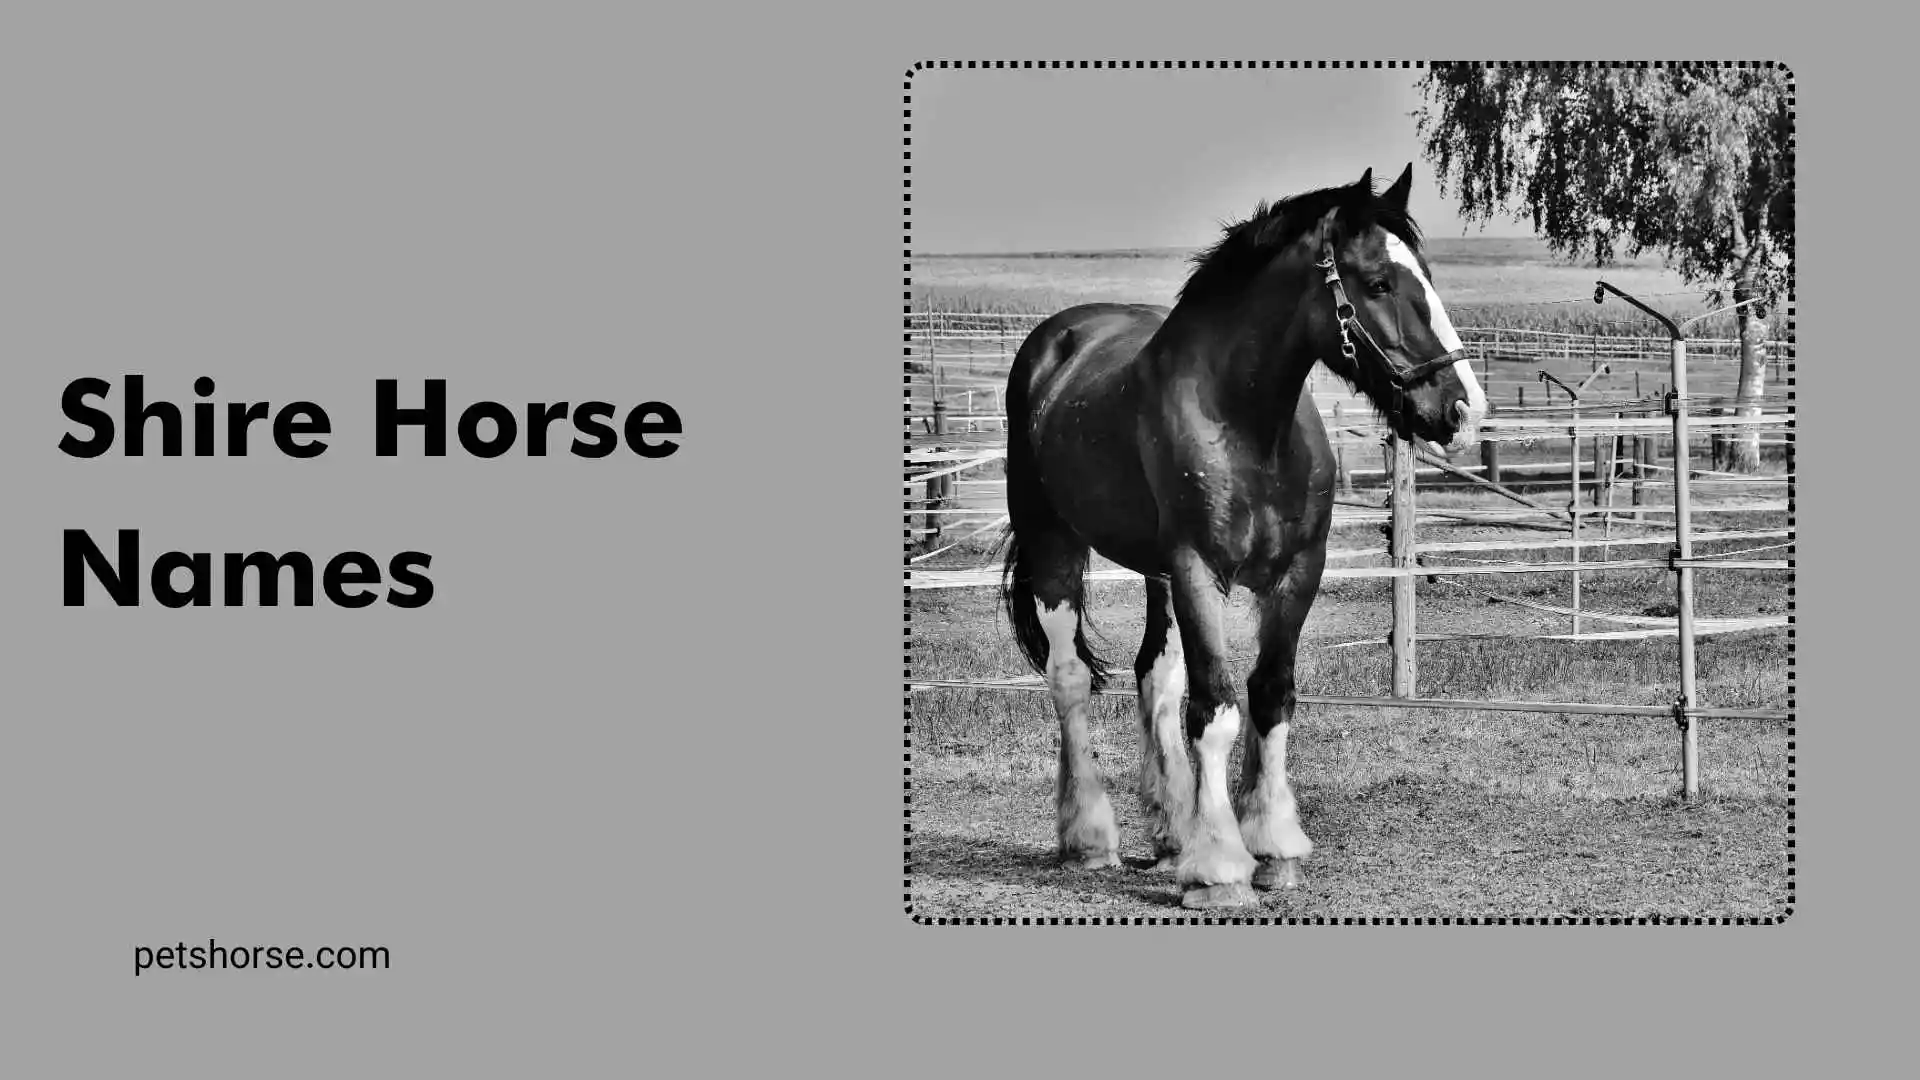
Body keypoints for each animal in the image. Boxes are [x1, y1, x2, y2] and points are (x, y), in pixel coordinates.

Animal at [997, 164, 1488, 909]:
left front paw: (1271, 847)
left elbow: (1269, 694)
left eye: (1426, 276)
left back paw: (1172, 833)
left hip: (1155, 575)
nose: (1462, 410)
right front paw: (1221, 868)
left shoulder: (1296, 572)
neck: (1251, 426)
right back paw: (1091, 838)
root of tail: (1056, 341)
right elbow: (1216, 707)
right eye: (1378, 282)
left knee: (1154, 676)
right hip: (1056, 547)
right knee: (1070, 679)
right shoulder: (1198, 569)